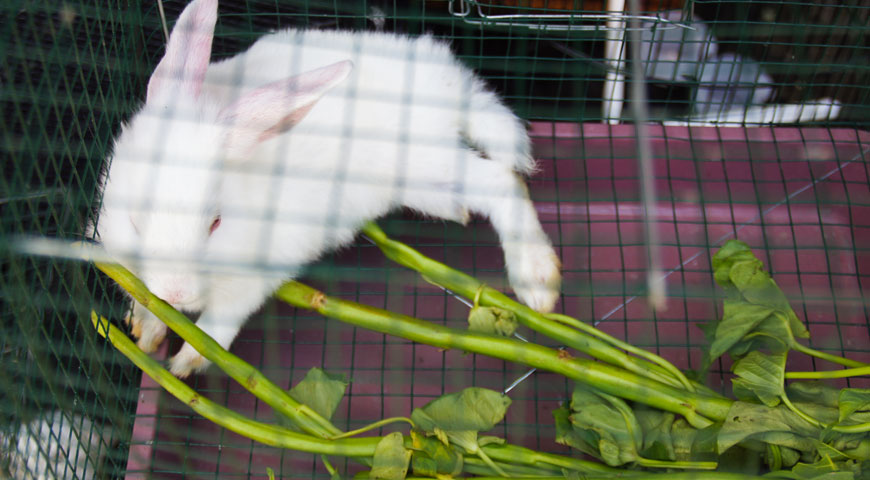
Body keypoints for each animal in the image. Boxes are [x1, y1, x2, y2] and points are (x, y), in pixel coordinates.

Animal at [92, 0, 564, 376]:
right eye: (135, 221)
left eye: (216, 224)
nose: (176, 291)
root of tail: (447, 81)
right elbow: (145, 300)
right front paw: (147, 328)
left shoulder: (259, 273)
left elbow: (222, 318)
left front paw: (189, 360)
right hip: (418, 183)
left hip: (427, 160)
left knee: (503, 181)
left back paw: (538, 280)